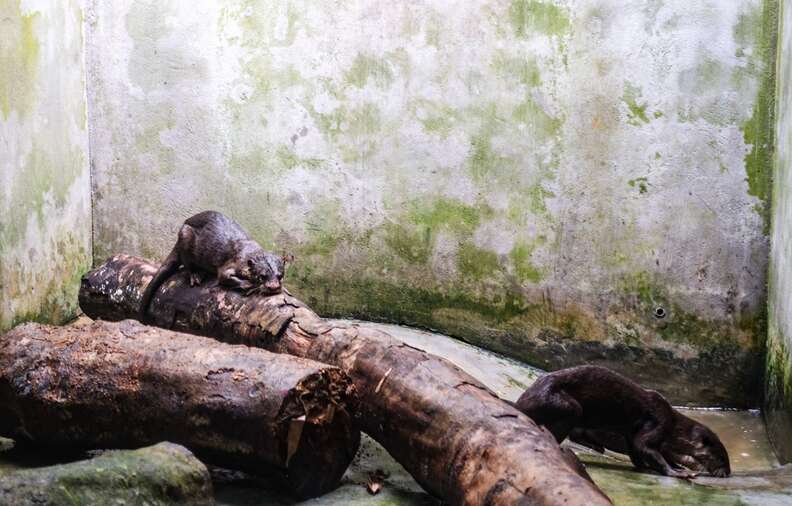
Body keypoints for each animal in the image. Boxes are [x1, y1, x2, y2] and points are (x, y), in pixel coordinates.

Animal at [139, 211, 288, 320]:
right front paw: (249, 285)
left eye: (280, 276)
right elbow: (223, 276)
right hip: (185, 235)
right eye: (262, 276)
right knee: (187, 265)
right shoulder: (234, 263)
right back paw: (196, 275)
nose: (274, 287)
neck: (249, 252)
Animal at [514, 365, 730, 479]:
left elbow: (636, 451)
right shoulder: (659, 423)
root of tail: (522, 401)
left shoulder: (631, 432)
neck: (674, 428)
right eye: (721, 458)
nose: (728, 472)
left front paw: (646, 467)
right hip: (569, 406)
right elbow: (645, 447)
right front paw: (677, 472)